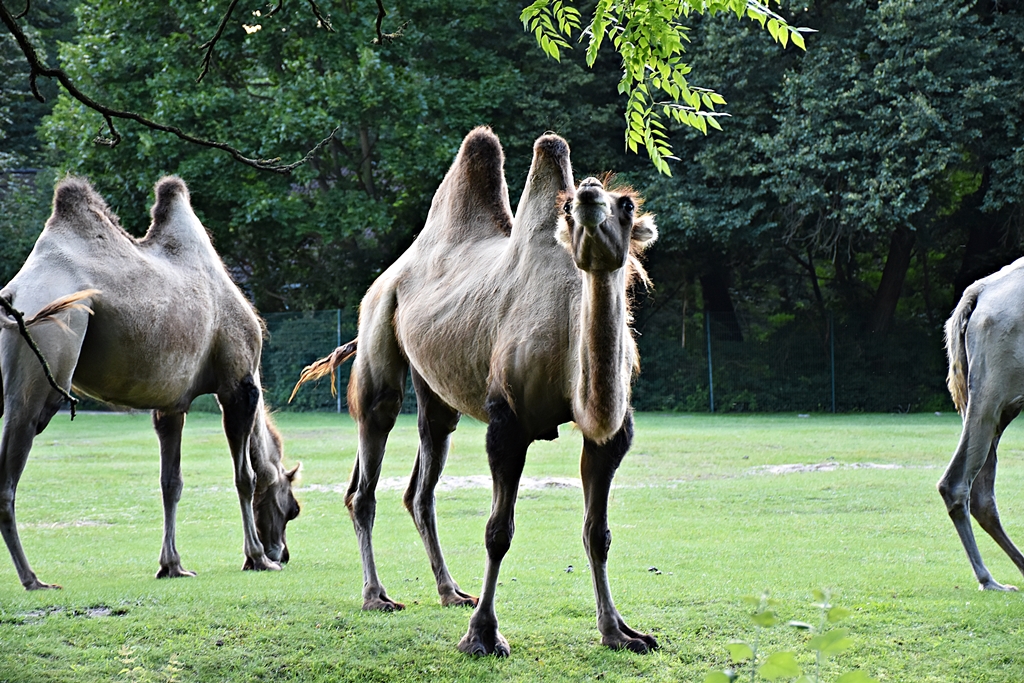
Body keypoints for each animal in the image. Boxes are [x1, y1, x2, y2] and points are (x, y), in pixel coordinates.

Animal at [0, 176, 299, 590]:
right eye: (293, 508)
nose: (282, 553)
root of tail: (14, 294)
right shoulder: (237, 384)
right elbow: (247, 476)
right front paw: (255, 559)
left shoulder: (171, 405)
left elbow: (170, 482)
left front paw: (172, 565)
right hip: (48, 350)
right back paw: (33, 579)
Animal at [293, 128, 658, 655]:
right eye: (568, 208)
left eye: (626, 204)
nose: (588, 196)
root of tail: (386, 278)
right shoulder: (507, 422)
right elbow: (498, 532)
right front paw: (483, 635)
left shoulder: (609, 437)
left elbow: (598, 533)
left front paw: (620, 632)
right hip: (378, 328)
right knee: (369, 464)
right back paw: (376, 596)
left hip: (434, 390)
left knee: (422, 485)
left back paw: (450, 591)